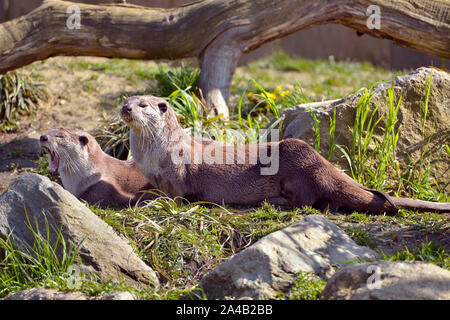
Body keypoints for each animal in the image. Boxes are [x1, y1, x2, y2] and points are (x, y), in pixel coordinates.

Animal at [119, 95, 450, 215]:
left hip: (298, 162)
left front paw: (152, 202)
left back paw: (273, 201)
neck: (155, 154)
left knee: (307, 200)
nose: (126, 108)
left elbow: (175, 196)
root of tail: (324, 165)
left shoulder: (178, 175)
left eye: (144, 105)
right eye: (127, 100)